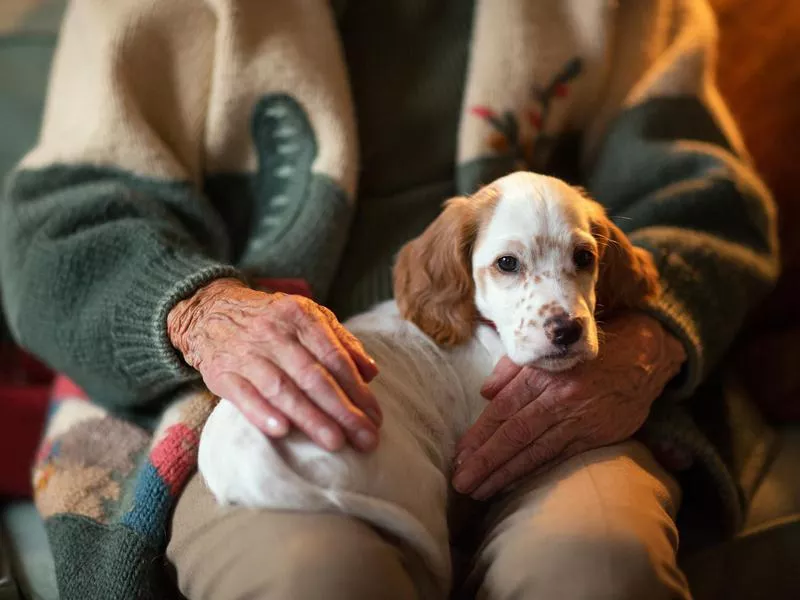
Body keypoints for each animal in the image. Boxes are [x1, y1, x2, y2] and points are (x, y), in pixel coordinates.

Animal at [197, 171, 660, 596]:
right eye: (507, 263)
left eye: (584, 257)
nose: (567, 331)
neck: (482, 329)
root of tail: (259, 469)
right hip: (417, 487)